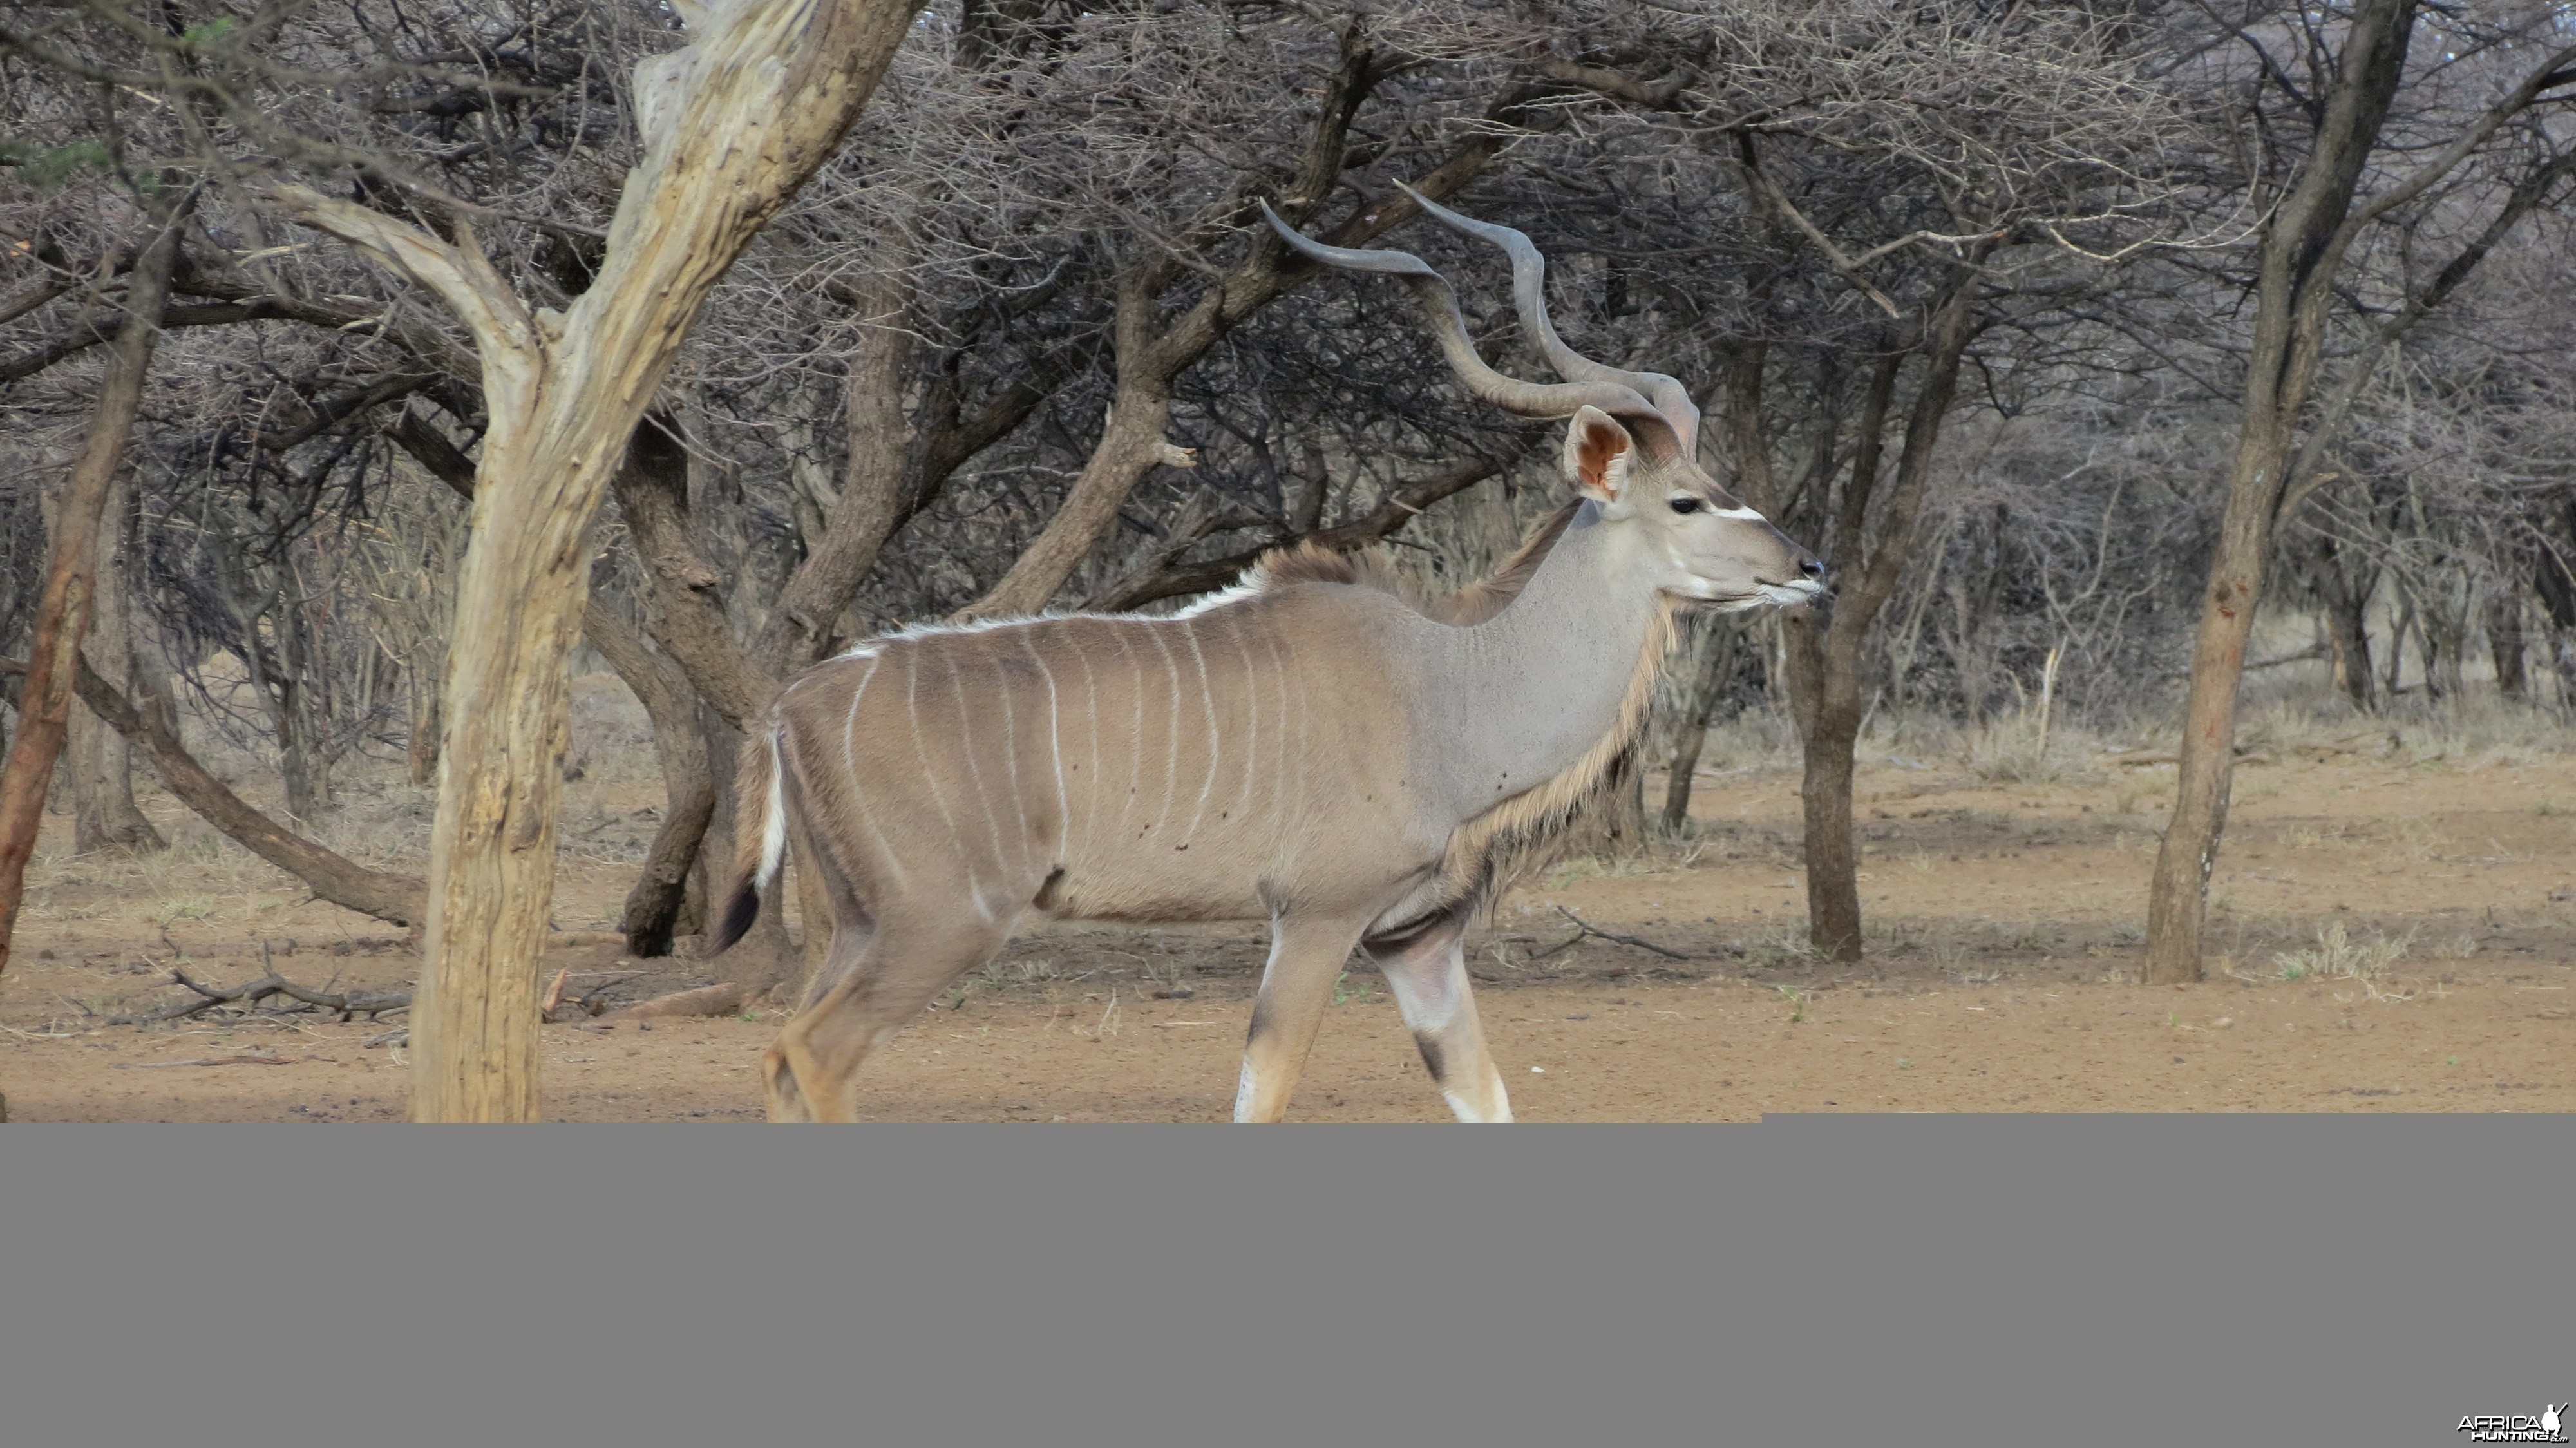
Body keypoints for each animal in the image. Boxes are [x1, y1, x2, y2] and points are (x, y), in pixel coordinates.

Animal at [716, 192, 1824, 1118]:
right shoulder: (1317, 918)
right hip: (938, 925)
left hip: (862, 924)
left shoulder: (1416, 942)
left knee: (777, 1058)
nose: (1811, 568)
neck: (1448, 686)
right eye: (1687, 501)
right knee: (812, 1054)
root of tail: (790, 708)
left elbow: (1483, 1095)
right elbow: (1265, 1089)